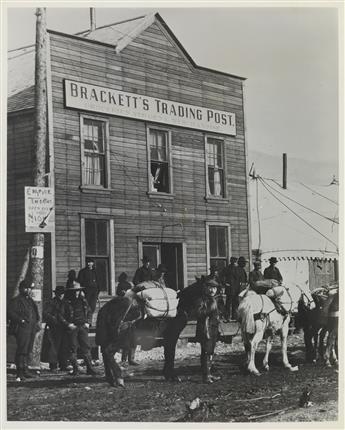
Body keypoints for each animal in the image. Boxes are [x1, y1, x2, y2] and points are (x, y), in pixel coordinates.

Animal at [94, 278, 223, 388]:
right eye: (206, 292)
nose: (215, 309)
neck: (180, 306)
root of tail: (105, 308)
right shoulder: (172, 336)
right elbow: (170, 355)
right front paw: (173, 376)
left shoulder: (167, 338)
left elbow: (168, 355)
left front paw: (168, 375)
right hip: (122, 339)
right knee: (108, 351)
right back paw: (119, 378)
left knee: (105, 354)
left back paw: (111, 380)